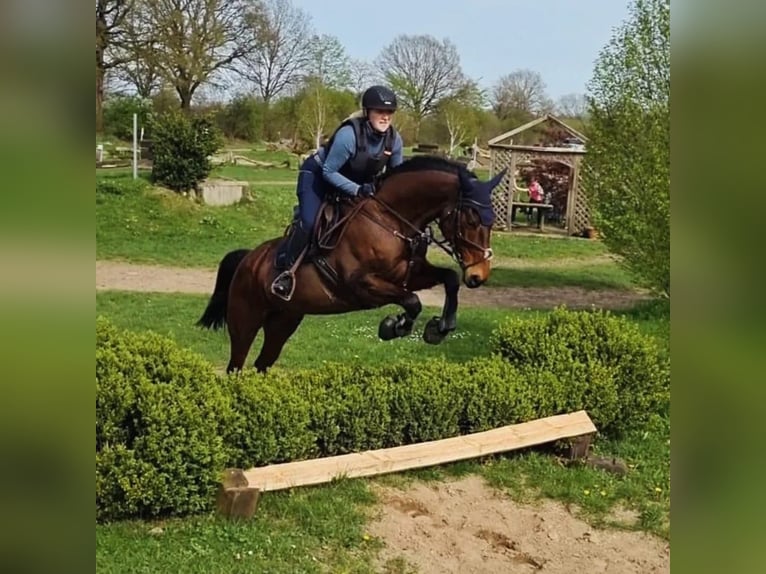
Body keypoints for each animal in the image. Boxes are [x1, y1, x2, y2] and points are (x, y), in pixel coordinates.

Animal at [198, 155, 508, 376]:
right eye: (471, 220)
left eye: (492, 220)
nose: (479, 276)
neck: (390, 220)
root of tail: (248, 258)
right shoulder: (362, 285)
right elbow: (412, 301)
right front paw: (394, 326)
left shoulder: (410, 275)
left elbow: (449, 279)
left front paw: (440, 328)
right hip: (246, 320)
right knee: (236, 364)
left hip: (284, 321)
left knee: (263, 362)